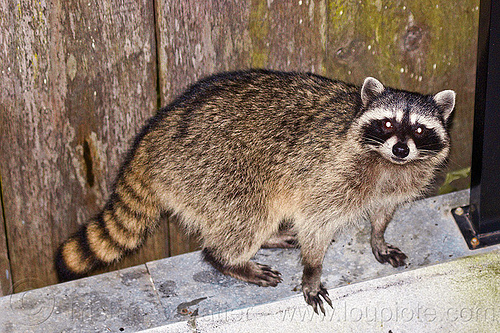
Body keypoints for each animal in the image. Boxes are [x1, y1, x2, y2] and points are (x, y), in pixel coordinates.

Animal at [53, 68, 454, 314]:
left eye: (419, 130)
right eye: (387, 124)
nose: (400, 149)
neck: (387, 164)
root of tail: (155, 132)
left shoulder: (398, 182)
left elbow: (384, 211)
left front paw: (378, 236)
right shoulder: (328, 172)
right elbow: (315, 222)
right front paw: (312, 270)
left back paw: (270, 237)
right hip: (214, 169)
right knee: (248, 217)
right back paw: (229, 258)